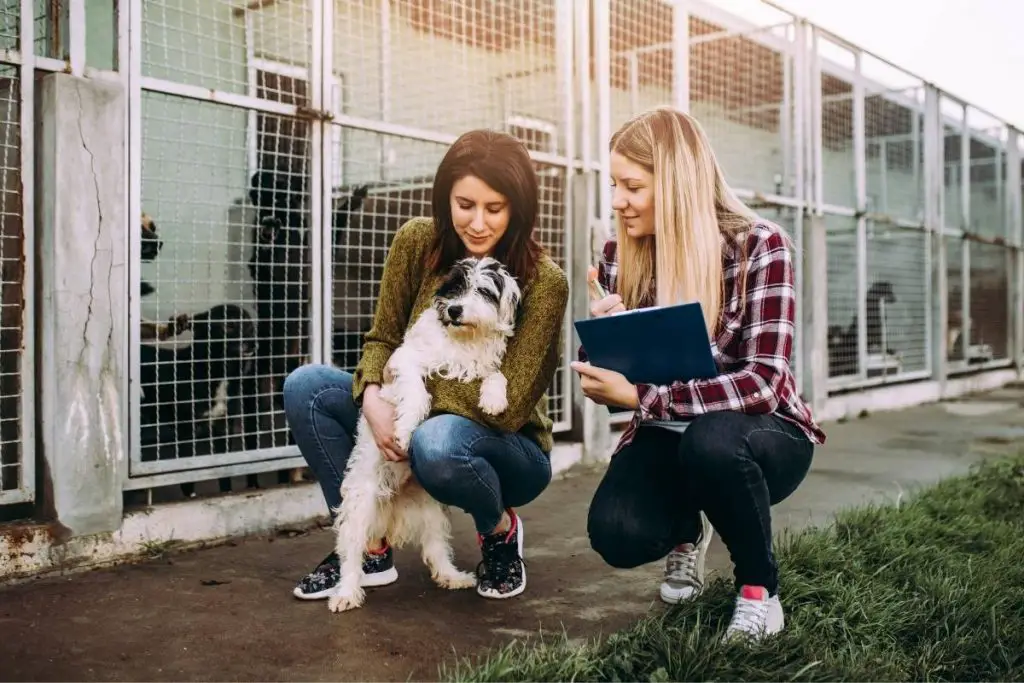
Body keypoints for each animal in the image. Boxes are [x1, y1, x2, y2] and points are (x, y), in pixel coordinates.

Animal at [325, 255, 520, 614]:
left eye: (483, 290)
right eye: (456, 287)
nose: (455, 310)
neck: (463, 340)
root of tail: (394, 496)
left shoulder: (483, 365)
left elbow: (496, 375)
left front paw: (494, 399)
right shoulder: (404, 361)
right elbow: (417, 391)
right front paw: (403, 431)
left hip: (432, 511)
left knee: (436, 548)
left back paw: (452, 577)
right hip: (360, 504)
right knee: (352, 552)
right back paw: (346, 592)